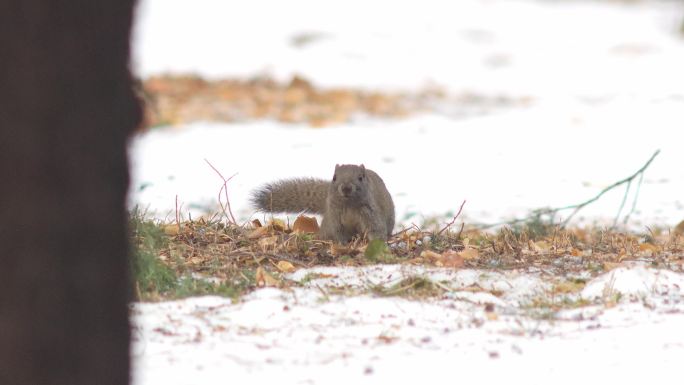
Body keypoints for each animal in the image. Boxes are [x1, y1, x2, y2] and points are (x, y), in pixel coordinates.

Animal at [250, 163, 396, 242]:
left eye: (361, 178)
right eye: (334, 177)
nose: (346, 188)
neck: (348, 204)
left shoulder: (370, 212)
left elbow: (376, 229)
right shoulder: (334, 217)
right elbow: (338, 232)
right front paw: (343, 244)